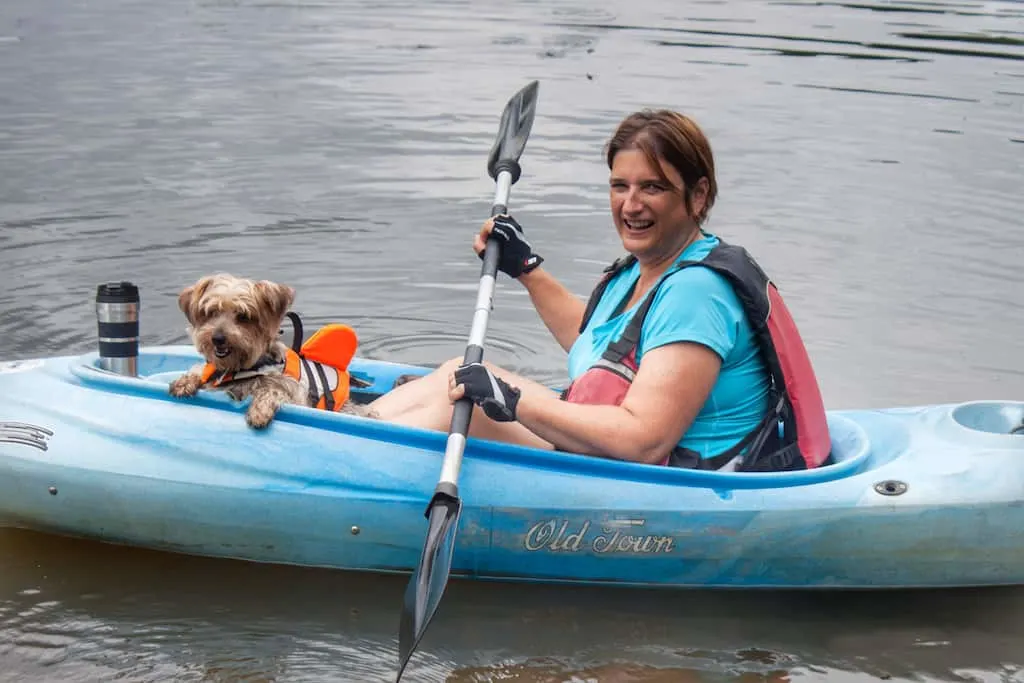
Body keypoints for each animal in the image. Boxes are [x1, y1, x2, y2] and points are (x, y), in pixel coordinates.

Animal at [168, 272, 372, 428]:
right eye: (211, 312)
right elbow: (201, 371)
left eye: (244, 316)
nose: (217, 338)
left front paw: (260, 411)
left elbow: (272, 390)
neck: (242, 368)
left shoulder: (296, 395)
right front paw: (185, 381)